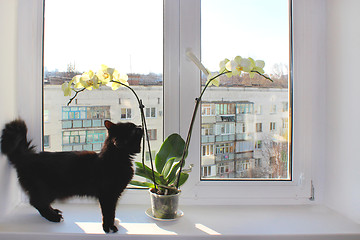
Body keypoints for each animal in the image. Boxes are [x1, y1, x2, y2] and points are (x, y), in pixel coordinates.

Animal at [0, 119, 142, 232]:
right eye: (132, 129)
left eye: (134, 126)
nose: (140, 126)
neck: (115, 158)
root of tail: (28, 157)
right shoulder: (107, 194)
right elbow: (108, 213)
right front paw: (108, 227)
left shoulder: (114, 195)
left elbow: (112, 212)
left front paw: (112, 224)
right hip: (47, 190)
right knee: (36, 202)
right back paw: (53, 217)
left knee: (41, 203)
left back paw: (55, 211)